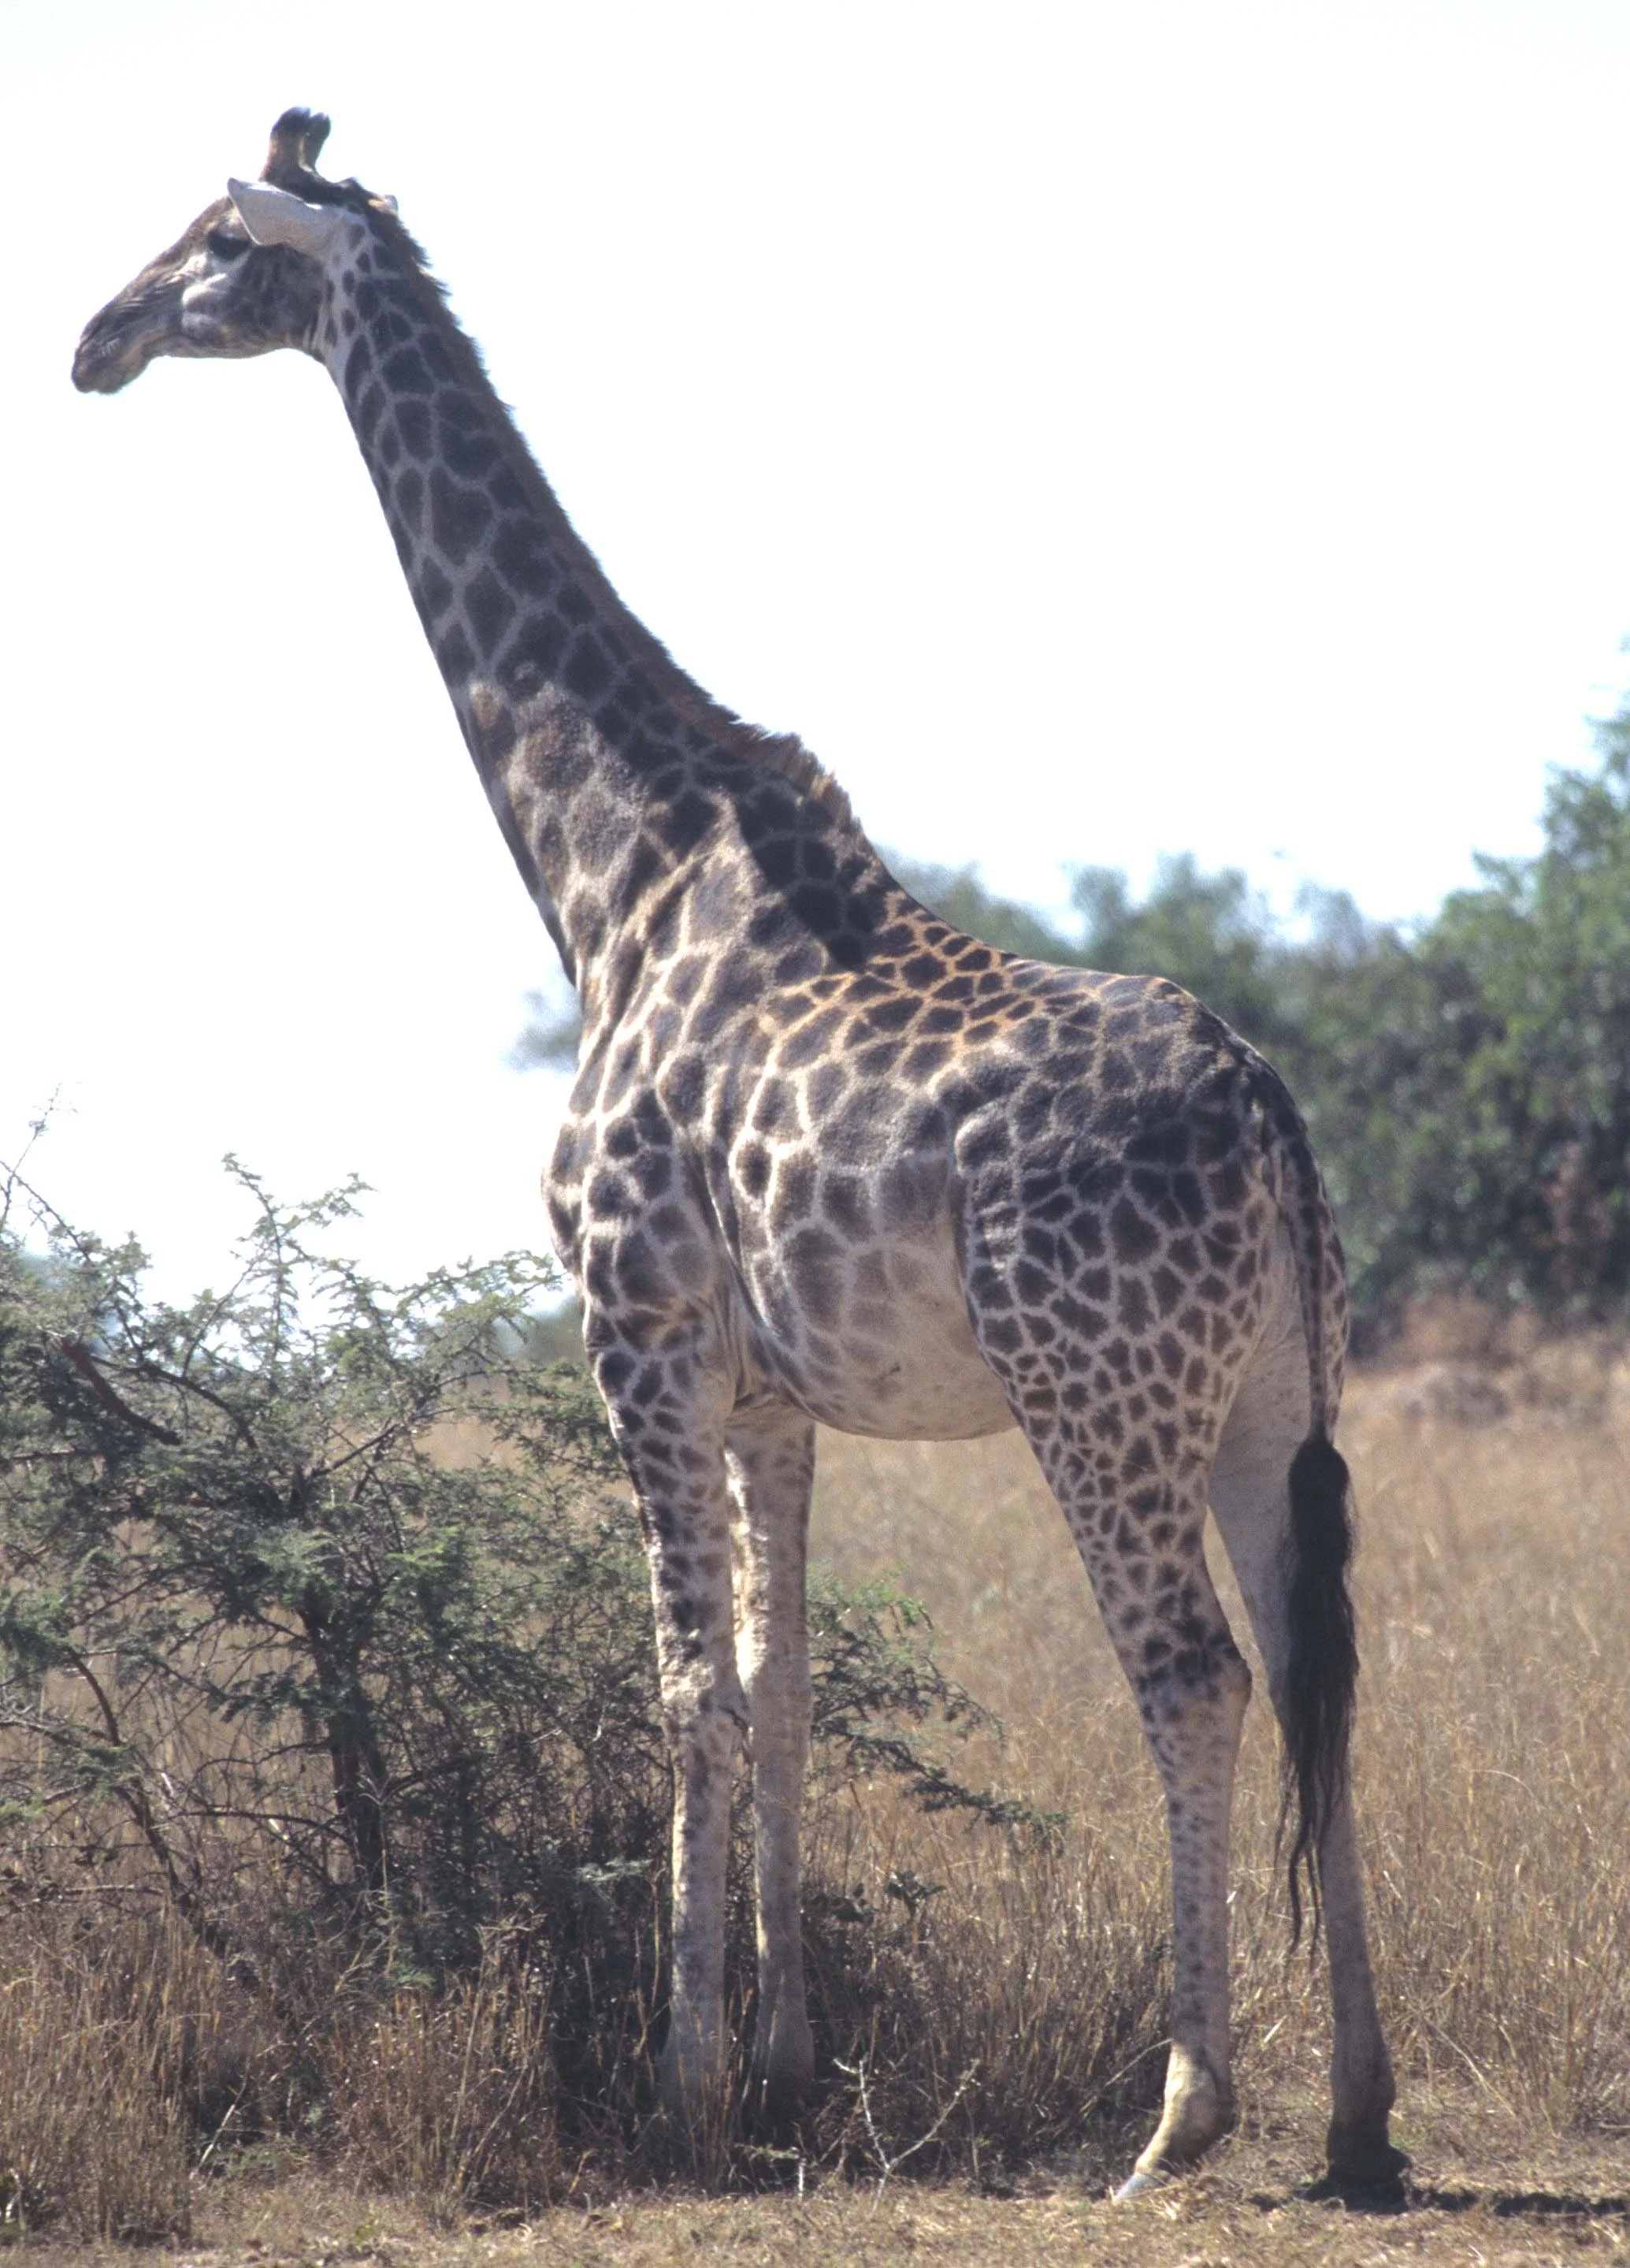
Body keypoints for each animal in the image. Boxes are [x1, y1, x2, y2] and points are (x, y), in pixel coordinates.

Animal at [73, 110, 1406, 2198]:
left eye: (214, 239)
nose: (94, 339)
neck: (602, 866)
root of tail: (1265, 1108)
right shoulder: (774, 1382)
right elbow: (783, 1686)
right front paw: (783, 2062)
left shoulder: (634, 1326)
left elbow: (686, 1681)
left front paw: (679, 2081)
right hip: (1274, 1397)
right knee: (1310, 1668)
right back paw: (1355, 2115)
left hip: (1097, 1396)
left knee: (1189, 1673)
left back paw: (1181, 2113)